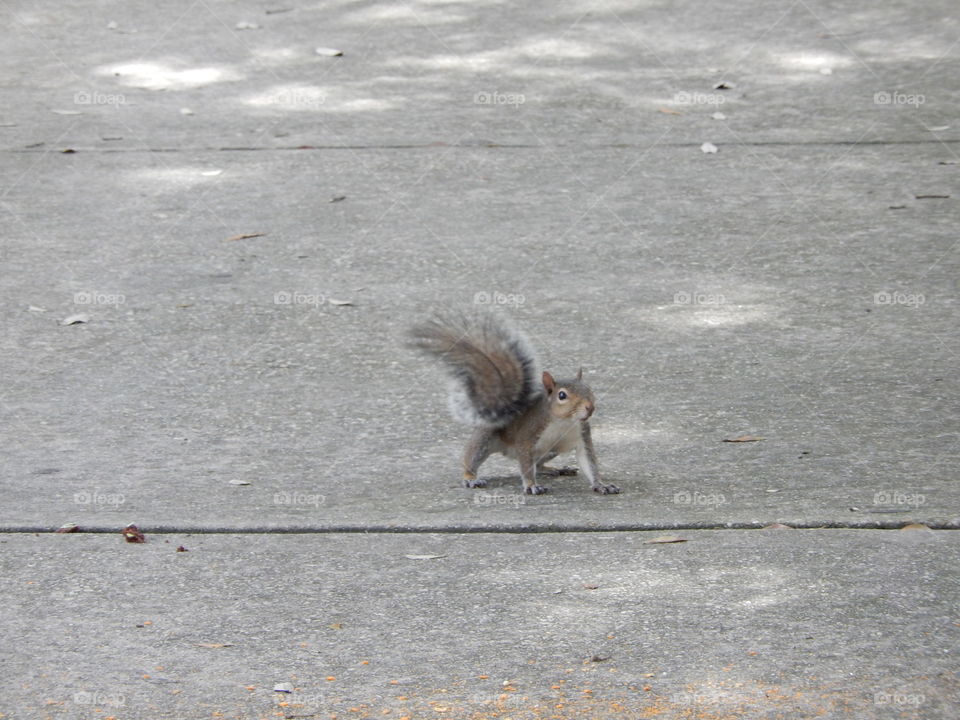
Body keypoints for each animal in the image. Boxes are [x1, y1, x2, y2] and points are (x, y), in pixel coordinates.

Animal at [408, 310, 620, 495]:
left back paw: (555, 469)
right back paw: (470, 478)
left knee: (538, 464)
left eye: (589, 389)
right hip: (486, 438)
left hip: (552, 450)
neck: (563, 421)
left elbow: (589, 462)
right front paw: (532, 486)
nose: (590, 407)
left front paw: (601, 485)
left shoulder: (582, 434)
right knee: (473, 457)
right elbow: (526, 464)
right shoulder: (528, 436)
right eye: (562, 395)